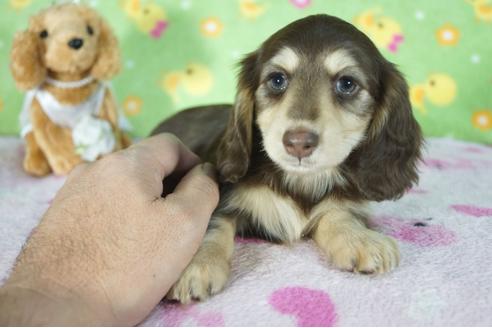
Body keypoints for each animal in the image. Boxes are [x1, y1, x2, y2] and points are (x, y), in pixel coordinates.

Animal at [153, 14, 422, 304]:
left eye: (347, 83)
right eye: (277, 80)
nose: (298, 143)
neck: (300, 180)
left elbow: (338, 213)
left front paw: (359, 239)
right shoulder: (222, 193)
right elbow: (211, 225)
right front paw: (195, 265)